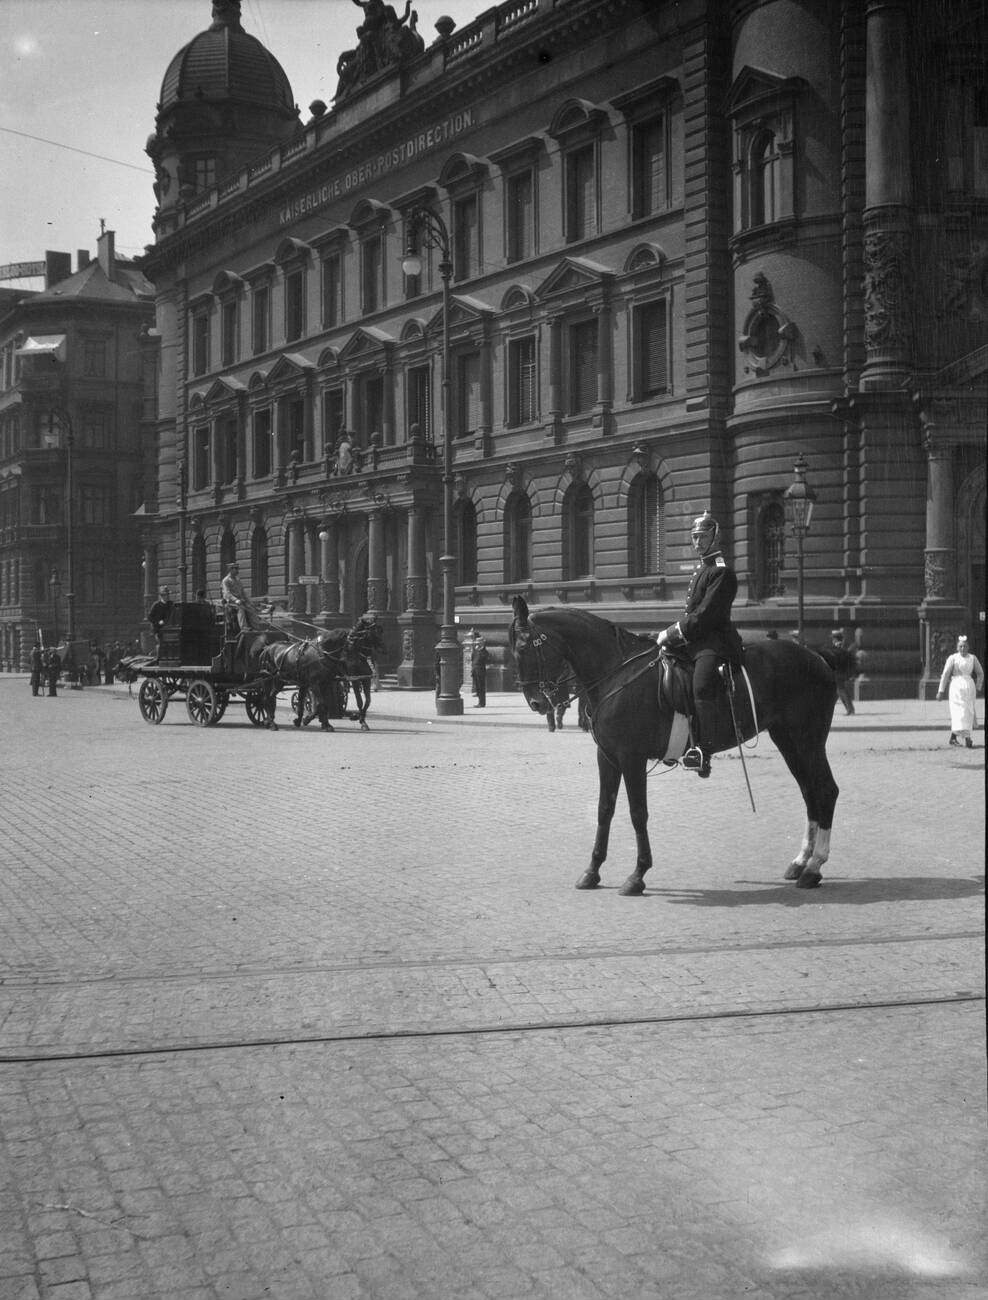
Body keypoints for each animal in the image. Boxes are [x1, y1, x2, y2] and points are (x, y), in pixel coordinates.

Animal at [509, 595, 842, 894]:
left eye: (524, 647)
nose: (536, 703)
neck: (617, 673)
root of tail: (816, 657)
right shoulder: (608, 757)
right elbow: (605, 809)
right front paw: (592, 871)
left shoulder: (631, 758)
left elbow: (637, 812)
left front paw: (638, 874)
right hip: (788, 740)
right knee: (810, 792)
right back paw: (800, 862)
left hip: (808, 739)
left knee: (825, 790)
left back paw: (814, 868)